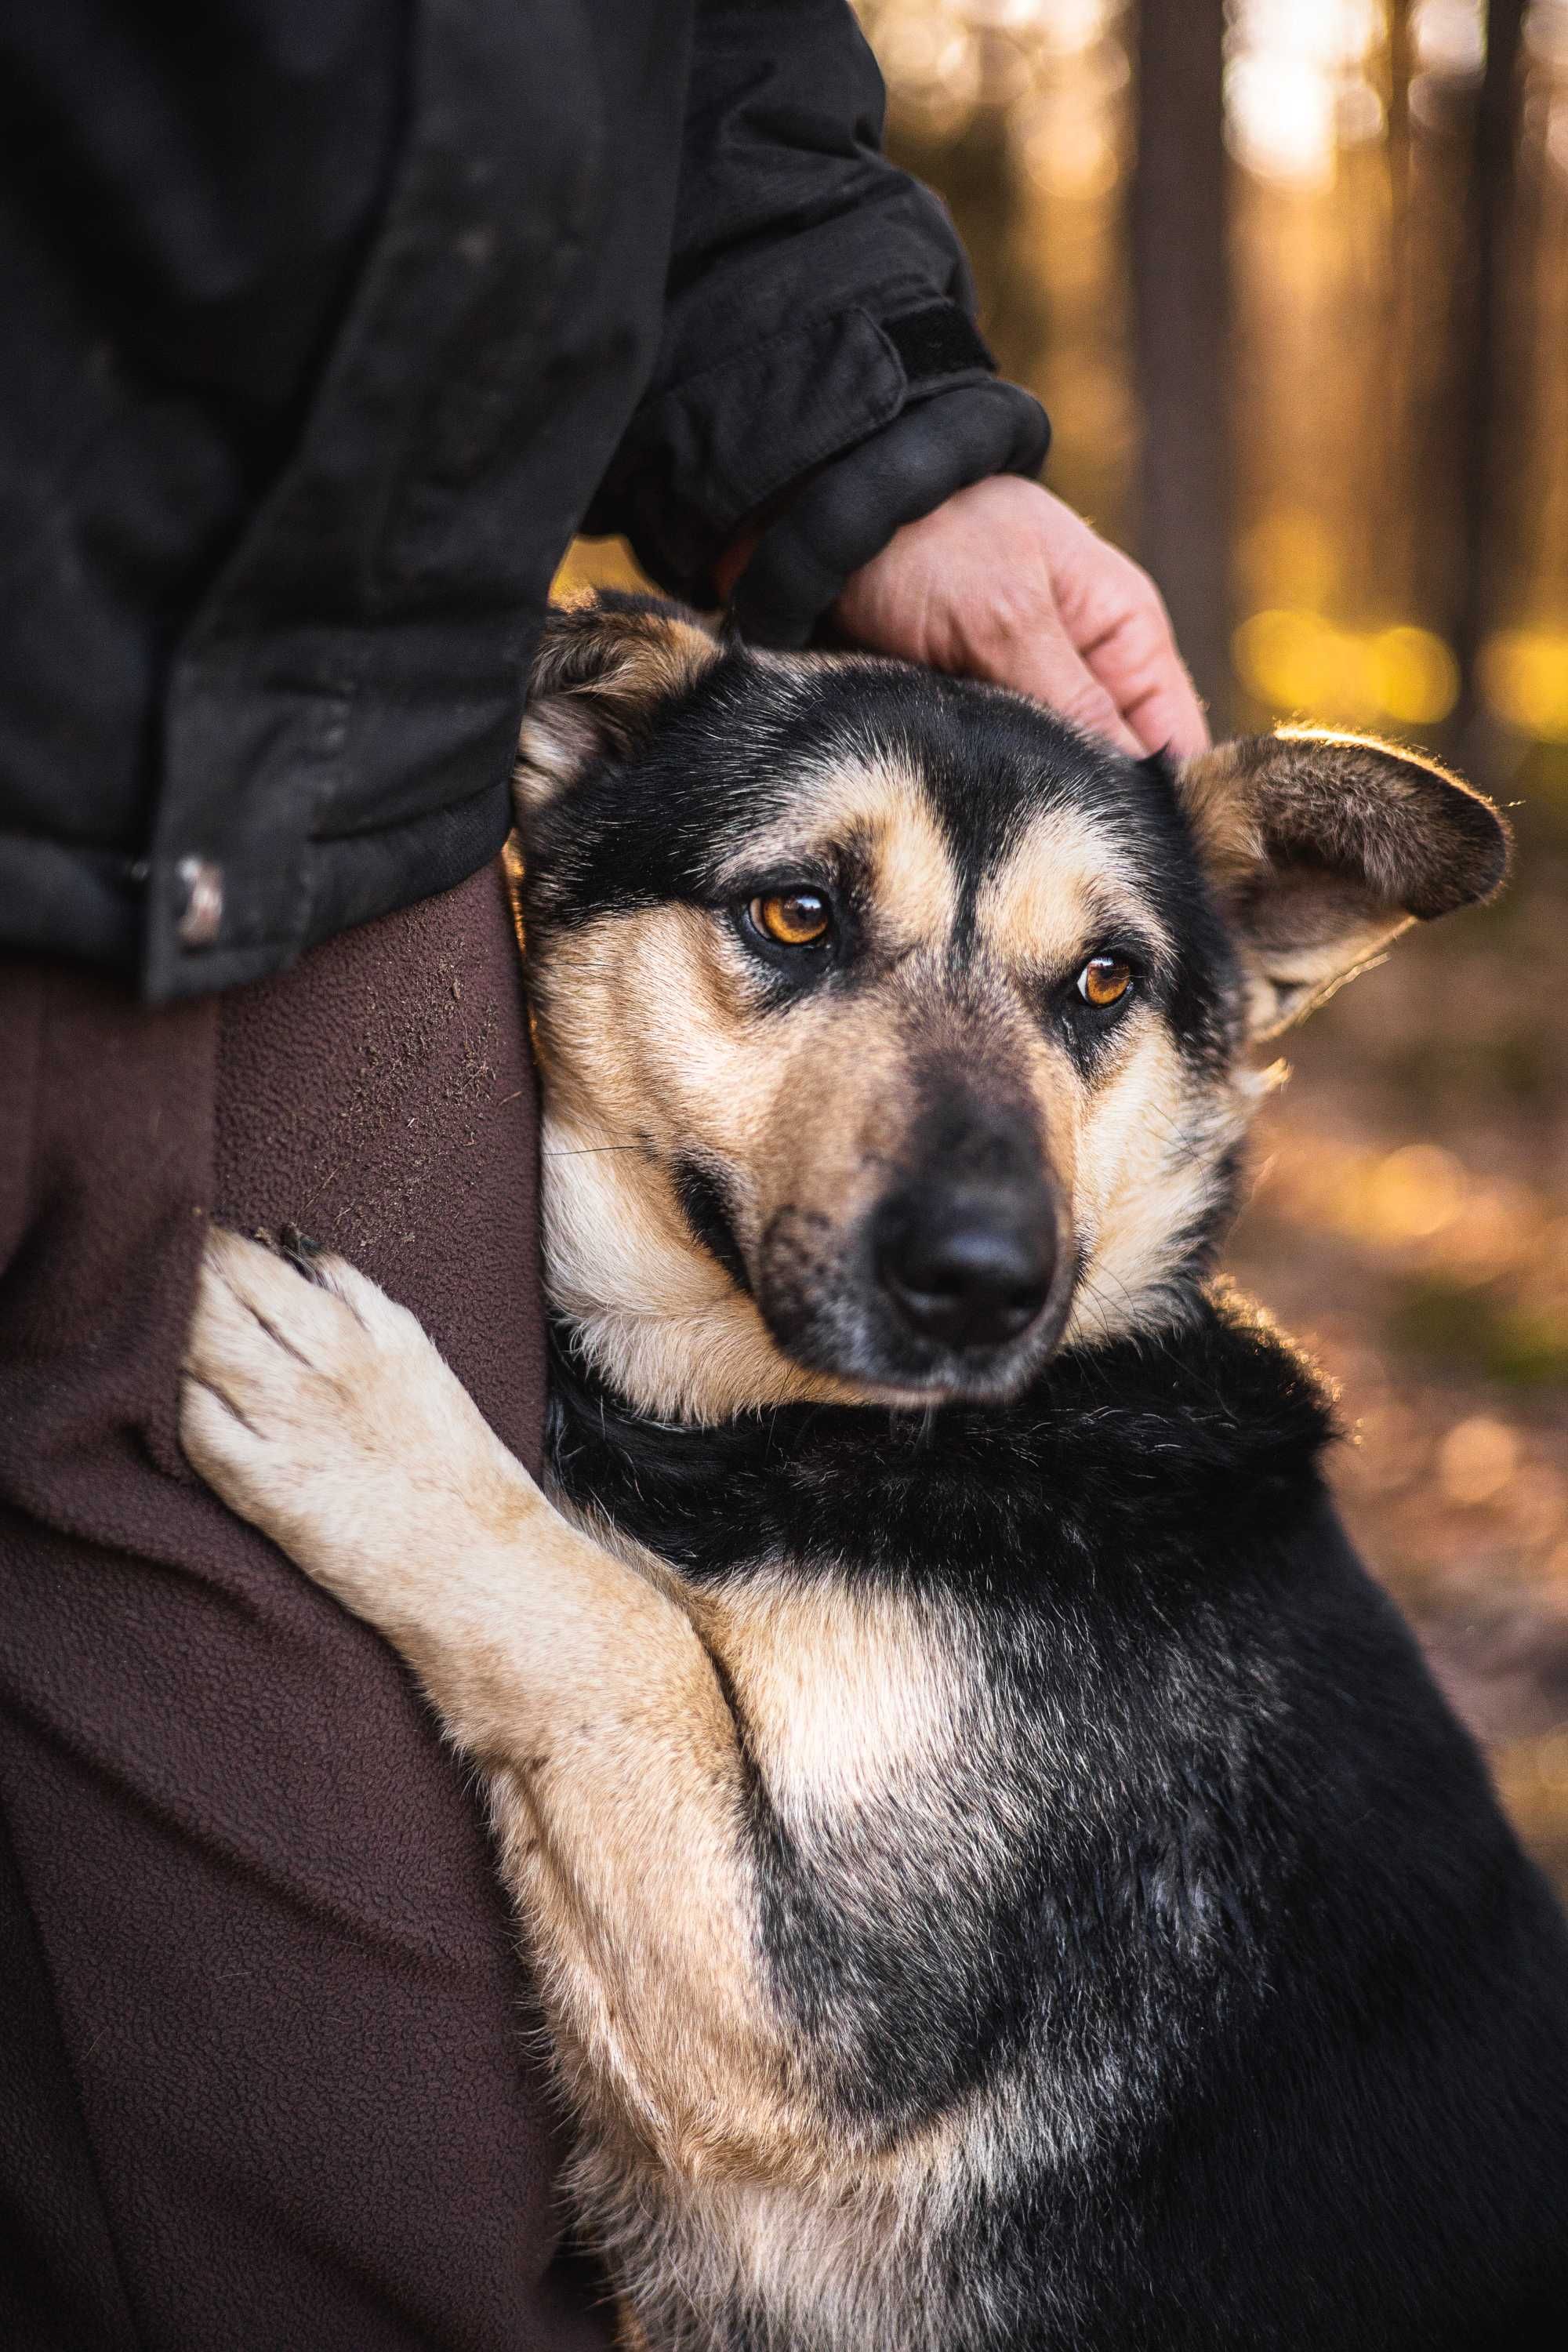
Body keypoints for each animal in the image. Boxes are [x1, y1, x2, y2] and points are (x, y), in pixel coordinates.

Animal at [180, 602, 1568, 2352]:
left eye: (1103, 979)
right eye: (797, 912)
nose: (986, 1282)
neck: (802, 1435)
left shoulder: (816, 2009)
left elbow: (612, 1637)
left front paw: (369, 1424)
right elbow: (636, 1620)